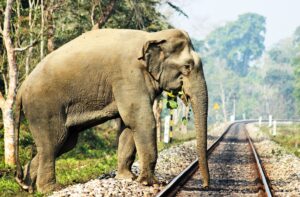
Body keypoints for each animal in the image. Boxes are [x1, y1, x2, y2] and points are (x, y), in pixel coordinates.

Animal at [14, 28, 210, 193]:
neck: (151, 37)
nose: (205, 185)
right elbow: (142, 120)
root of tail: (21, 88)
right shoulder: (129, 75)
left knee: (64, 143)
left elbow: (128, 126)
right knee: (54, 142)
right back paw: (50, 188)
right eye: (187, 67)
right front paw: (151, 183)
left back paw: (26, 186)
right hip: (43, 107)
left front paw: (127, 178)